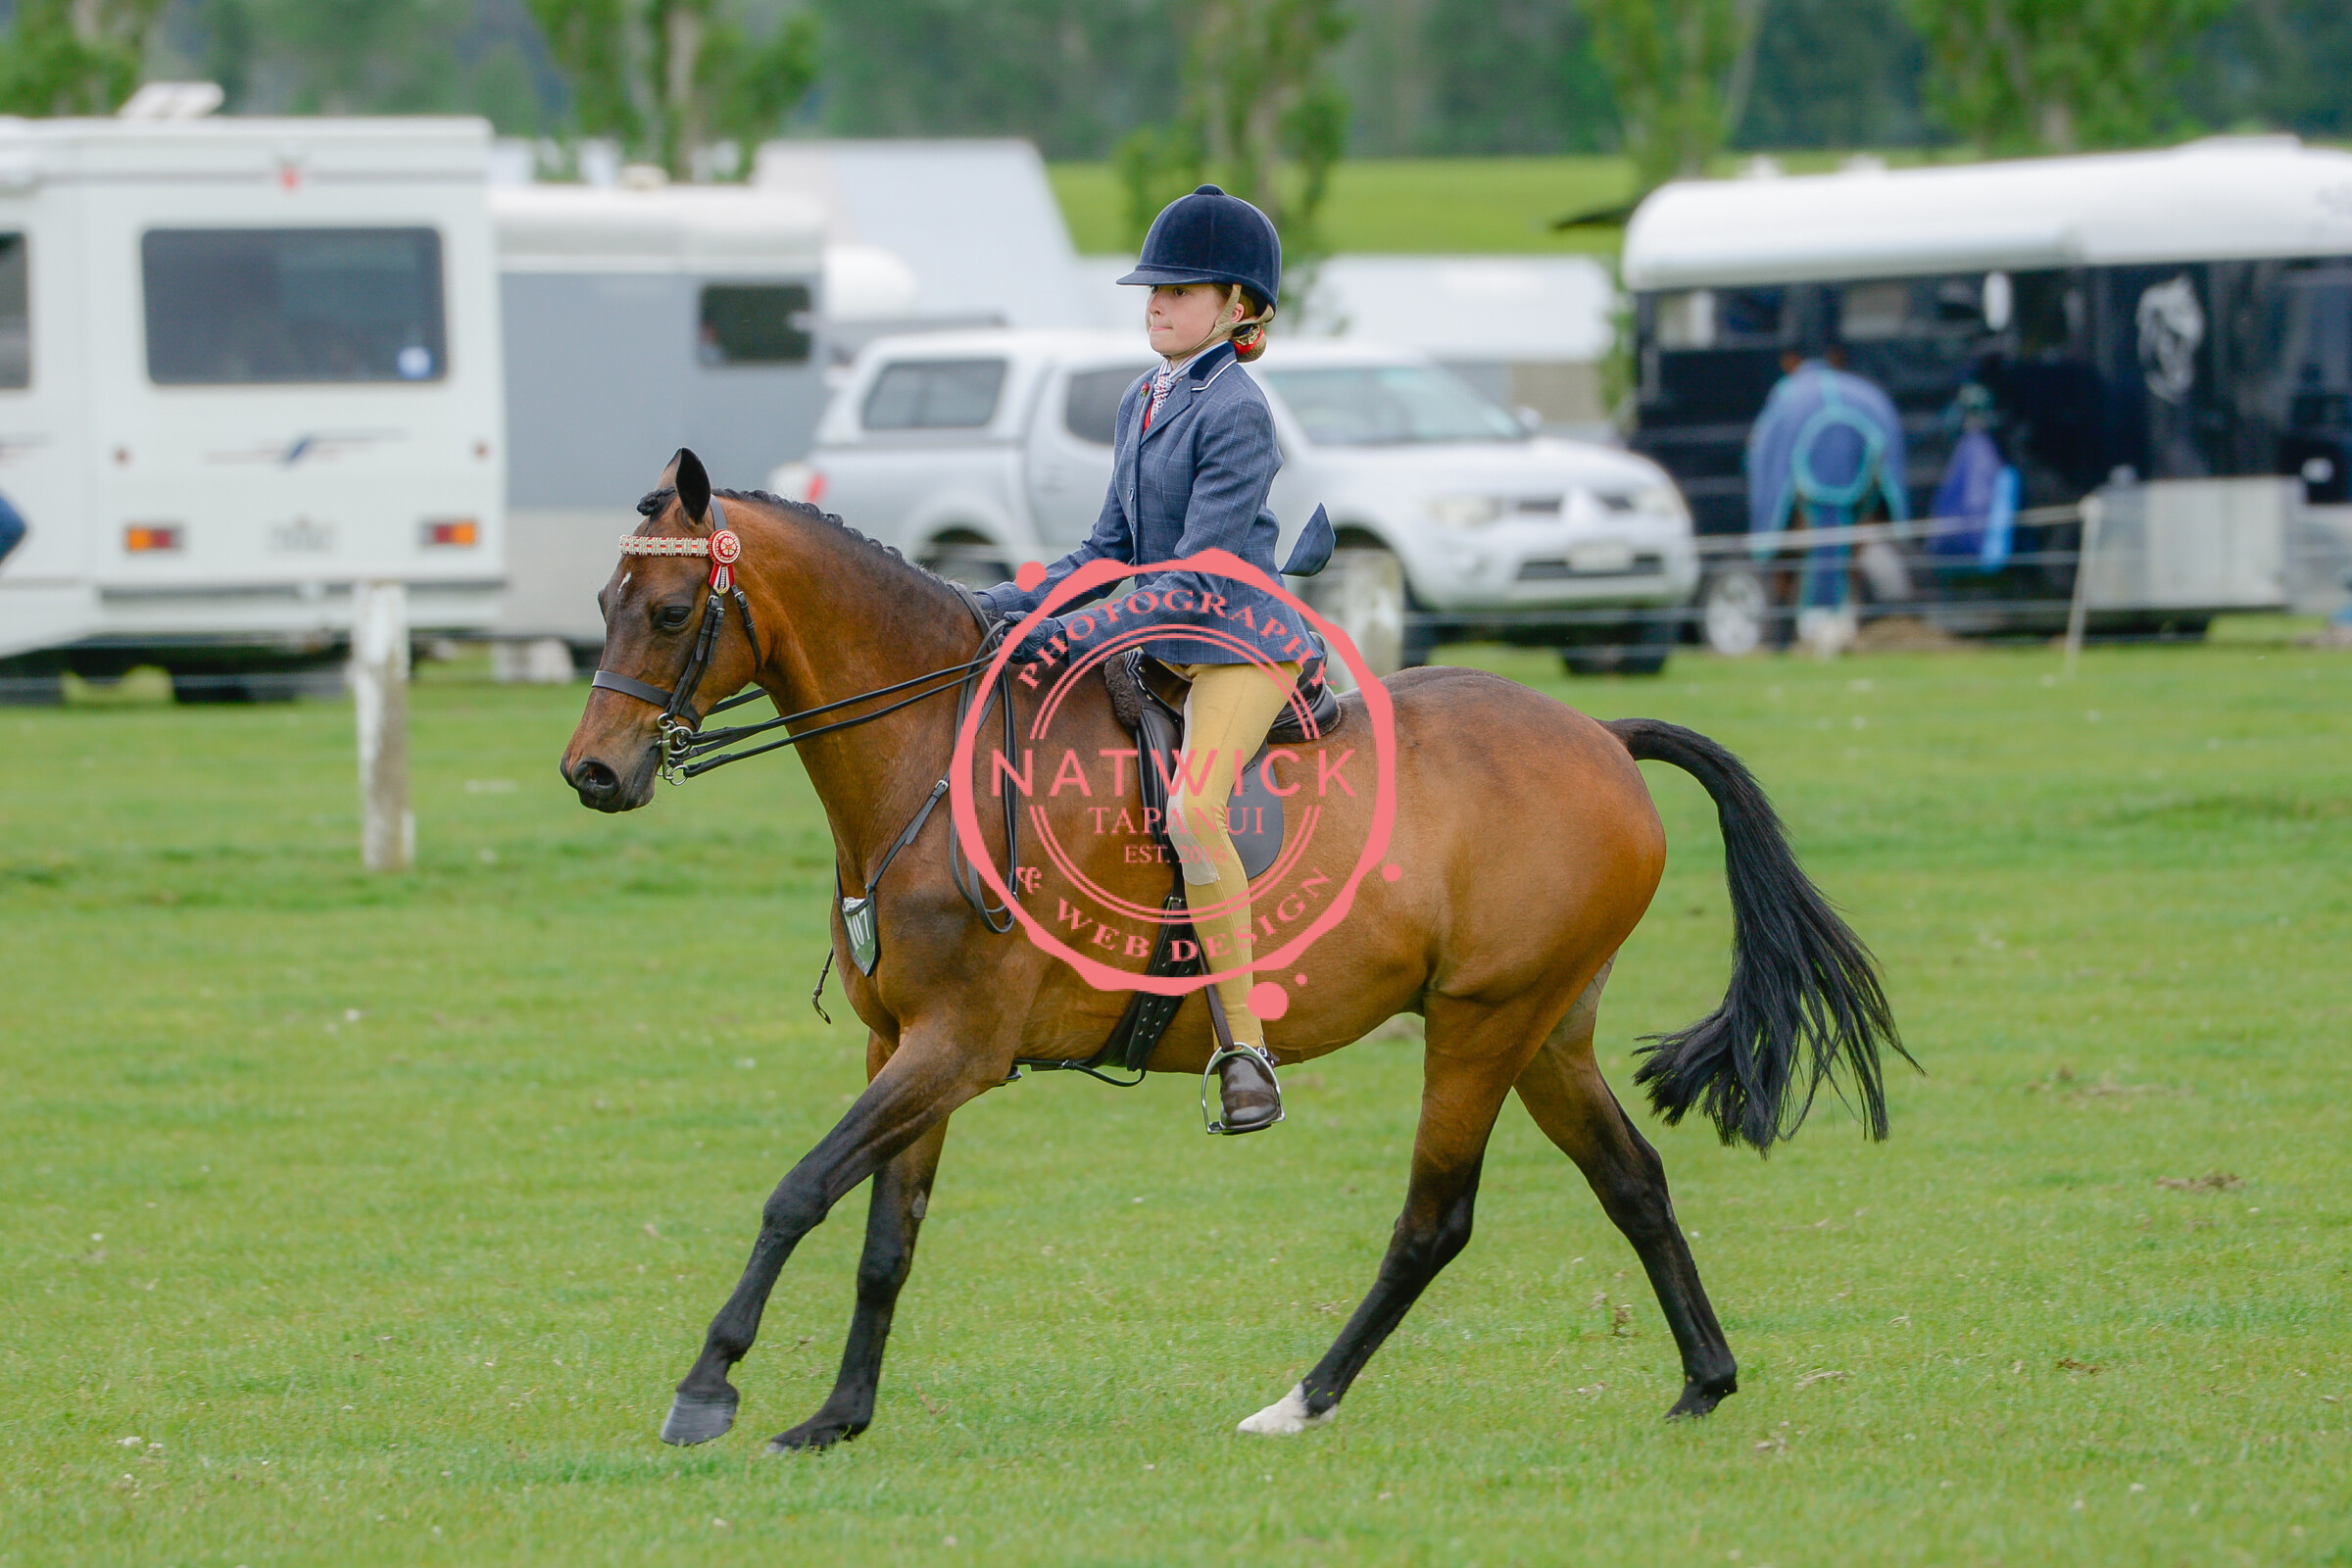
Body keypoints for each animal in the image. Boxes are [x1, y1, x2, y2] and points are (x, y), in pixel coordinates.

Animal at [560, 450, 1905, 1452]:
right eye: (604, 606)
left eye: (672, 612)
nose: (593, 774)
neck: (932, 760)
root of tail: (1601, 736)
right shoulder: (906, 1046)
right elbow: (887, 1236)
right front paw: (836, 1415)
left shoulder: (957, 1049)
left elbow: (799, 1190)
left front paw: (708, 1387)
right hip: (1544, 1028)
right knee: (1632, 1183)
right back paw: (1705, 1380)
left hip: (1483, 1025)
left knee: (1435, 1220)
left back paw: (1299, 1401)